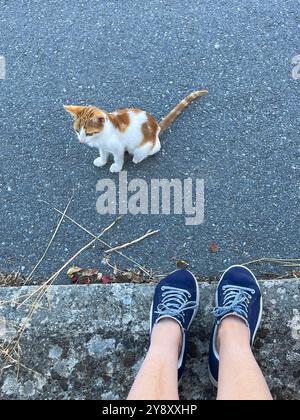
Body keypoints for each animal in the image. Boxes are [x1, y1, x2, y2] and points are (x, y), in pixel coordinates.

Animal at [64, 90, 207, 172]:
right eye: (77, 131)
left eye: (89, 133)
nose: (81, 141)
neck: (101, 136)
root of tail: (157, 128)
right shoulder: (102, 147)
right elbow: (104, 154)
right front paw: (102, 161)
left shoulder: (118, 147)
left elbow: (118, 158)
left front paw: (116, 167)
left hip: (144, 146)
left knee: (153, 149)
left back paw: (138, 158)